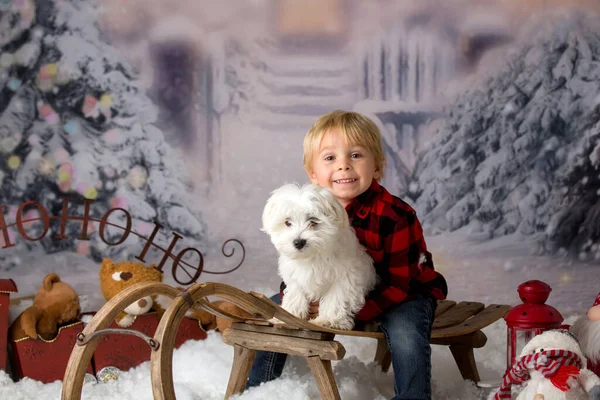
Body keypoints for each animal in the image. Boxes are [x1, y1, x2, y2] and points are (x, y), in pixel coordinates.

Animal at [262, 183, 376, 330]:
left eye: (313, 221)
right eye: (287, 222)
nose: (299, 242)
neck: (312, 255)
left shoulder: (346, 276)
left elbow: (336, 296)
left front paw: (328, 320)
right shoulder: (295, 276)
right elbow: (295, 293)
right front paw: (288, 315)